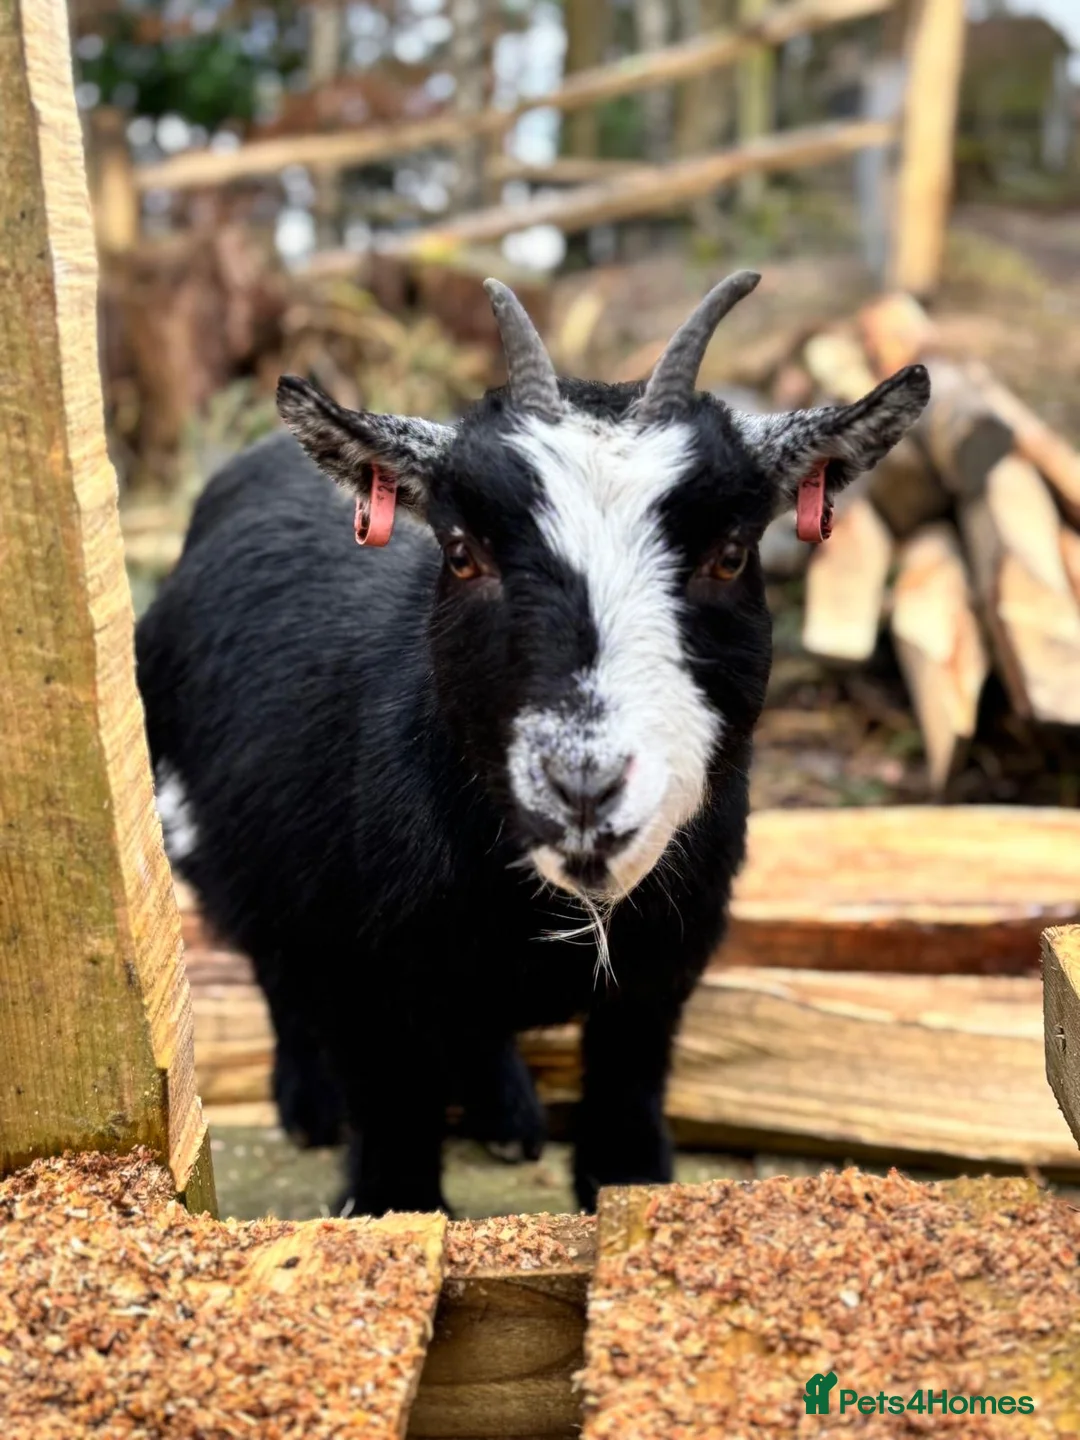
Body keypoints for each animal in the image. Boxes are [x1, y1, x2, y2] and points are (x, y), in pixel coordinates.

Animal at [136, 272, 929, 1215]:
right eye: (461, 552)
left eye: (733, 555)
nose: (585, 786)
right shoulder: (365, 972)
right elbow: (390, 1112)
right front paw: (386, 1199)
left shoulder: (668, 956)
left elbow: (629, 1081)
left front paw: (628, 1184)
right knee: (272, 963)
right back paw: (310, 1104)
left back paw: (505, 1113)